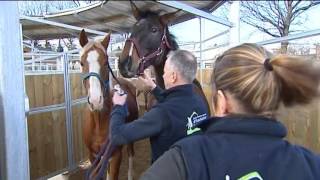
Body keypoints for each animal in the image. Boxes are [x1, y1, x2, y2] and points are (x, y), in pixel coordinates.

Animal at [79, 29, 138, 180]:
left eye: (106, 62)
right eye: (81, 63)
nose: (95, 100)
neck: (98, 123)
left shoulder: (116, 155)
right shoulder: (93, 156)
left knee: (131, 154)